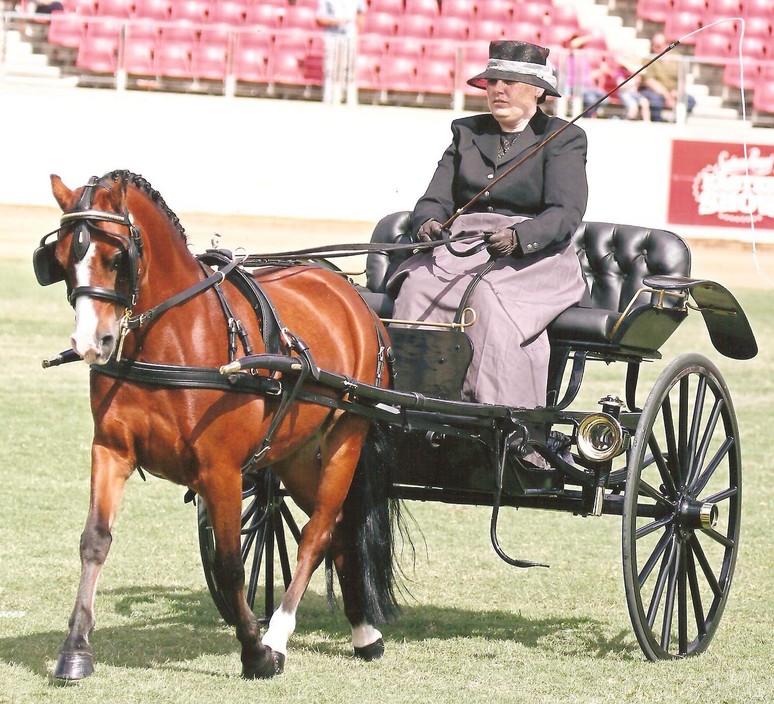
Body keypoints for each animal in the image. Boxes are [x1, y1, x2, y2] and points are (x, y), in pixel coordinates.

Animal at [34, 168, 404, 680]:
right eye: (62, 260)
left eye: (115, 258)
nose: (92, 342)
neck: (173, 339)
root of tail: (352, 295)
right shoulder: (110, 449)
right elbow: (94, 542)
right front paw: (74, 650)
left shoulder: (220, 471)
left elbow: (230, 565)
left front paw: (255, 652)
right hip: (293, 454)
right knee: (342, 530)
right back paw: (364, 633)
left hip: (346, 437)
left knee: (318, 534)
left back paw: (279, 635)